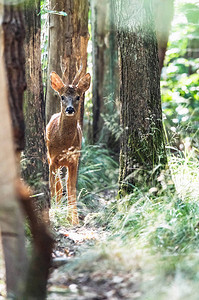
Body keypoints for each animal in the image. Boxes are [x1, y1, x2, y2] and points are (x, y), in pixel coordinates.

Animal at [46, 70, 90, 225]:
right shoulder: (53, 159)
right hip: (50, 158)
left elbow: (71, 189)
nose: (69, 109)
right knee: (57, 186)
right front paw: (54, 214)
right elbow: (53, 187)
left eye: (78, 97)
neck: (64, 144)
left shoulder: (74, 160)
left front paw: (74, 220)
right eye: (62, 97)